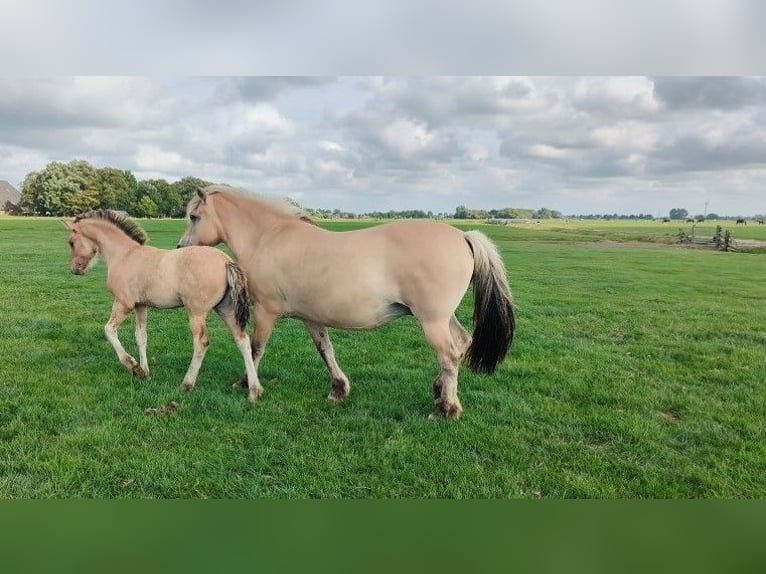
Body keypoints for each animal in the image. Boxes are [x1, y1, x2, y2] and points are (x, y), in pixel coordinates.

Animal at [64, 209, 262, 402]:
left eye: (71, 242)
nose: (75, 269)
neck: (124, 254)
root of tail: (225, 260)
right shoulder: (140, 305)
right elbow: (141, 337)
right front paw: (144, 372)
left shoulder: (123, 303)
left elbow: (109, 330)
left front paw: (133, 366)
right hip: (225, 309)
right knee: (243, 340)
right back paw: (254, 391)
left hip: (196, 312)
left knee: (201, 342)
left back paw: (186, 384)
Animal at [177, 186, 515, 419]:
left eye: (194, 216)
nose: (181, 247)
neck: (269, 237)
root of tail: (463, 237)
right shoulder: (311, 317)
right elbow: (325, 349)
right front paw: (339, 389)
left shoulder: (265, 312)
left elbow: (256, 348)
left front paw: (246, 383)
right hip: (444, 318)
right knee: (462, 343)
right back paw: (438, 390)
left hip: (432, 321)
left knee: (449, 356)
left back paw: (446, 408)